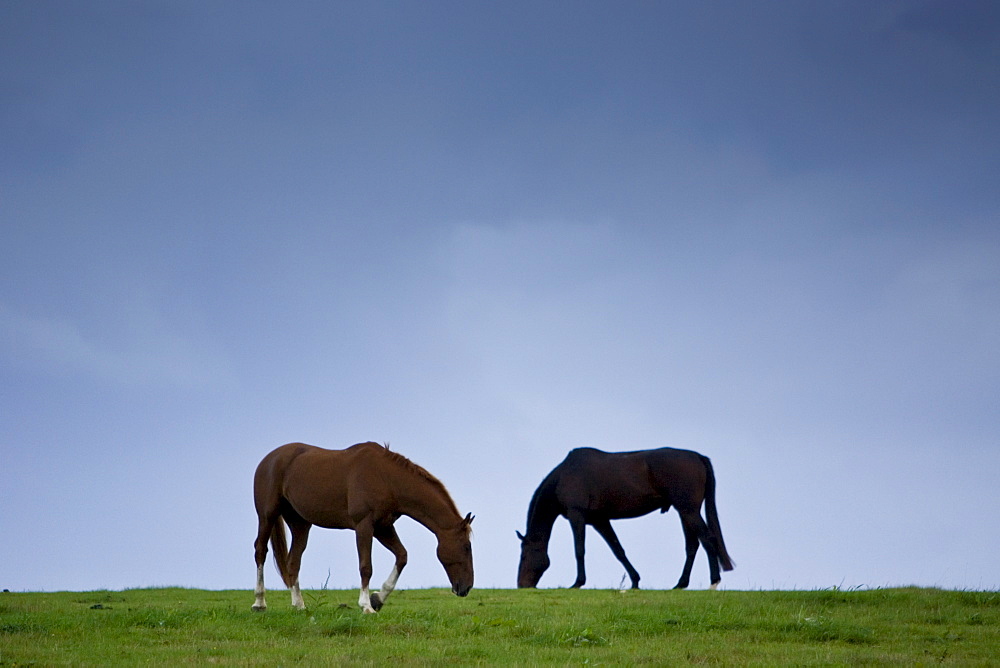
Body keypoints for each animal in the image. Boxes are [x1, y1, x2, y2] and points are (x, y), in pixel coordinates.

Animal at [248, 440, 470, 612]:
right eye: (467, 547)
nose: (466, 587)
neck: (387, 478)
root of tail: (269, 459)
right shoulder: (364, 526)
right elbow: (366, 567)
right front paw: (366, 605)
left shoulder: (383, 527)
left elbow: (402, 556)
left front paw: (378, 599)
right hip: (267, 515)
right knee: (260, 551)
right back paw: (259, 603)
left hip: (300, 524)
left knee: (293, 562)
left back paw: (299, 605)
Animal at [516, 448, 736, 588]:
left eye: (524, 555)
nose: (521, 585)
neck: (565, 475)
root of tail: (697, 456)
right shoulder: (599, 521)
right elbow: (618, 550)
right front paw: (635, 581)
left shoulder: (576, 516)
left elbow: (580, 550)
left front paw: (578, 583)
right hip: (685, 512)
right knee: (692, 545)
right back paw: (680, 584)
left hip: (689, 510)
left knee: (707, 539)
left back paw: (714, 581)